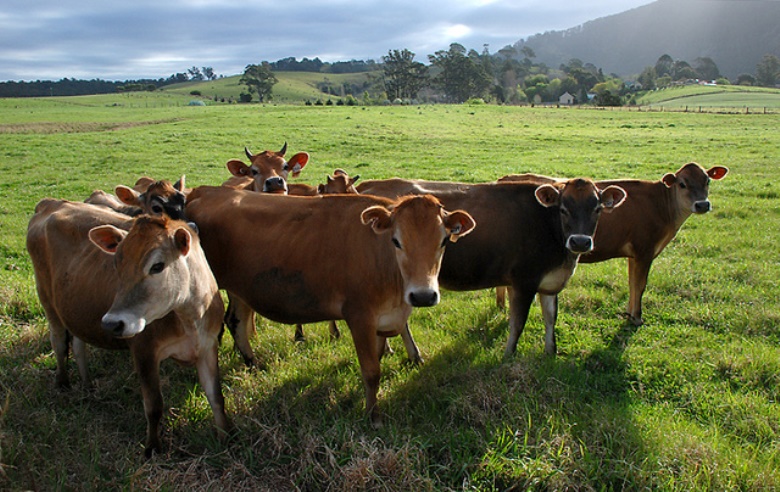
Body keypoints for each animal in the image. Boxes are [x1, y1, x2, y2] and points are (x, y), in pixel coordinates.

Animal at [27, 201, 229, 458]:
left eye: (157, 266)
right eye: (116, 264)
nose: (111, 323)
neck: (189, 317)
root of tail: (52, 202)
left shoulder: (207, 346)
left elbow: (216, 396)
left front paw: (225, 435)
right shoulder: (143, 351)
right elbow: (153, 406)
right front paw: (152, 448)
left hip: (73, 309)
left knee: (78, 343)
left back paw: (87, 384)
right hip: (46, 297)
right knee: (59, 342)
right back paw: (62, 383)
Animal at [185, 186, 476, 424]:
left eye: (444, 240)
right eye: (396, 241)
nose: (423, 296)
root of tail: (206, 191)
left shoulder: (382, 320)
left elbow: (378, 358)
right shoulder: (359, 316)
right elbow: (371, 370)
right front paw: (373, 417)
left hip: (241, 288)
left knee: (237, 321)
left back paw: (253, 364)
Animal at [356, 179, 624, 356]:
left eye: (598, 208)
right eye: (563, 209)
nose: (580, 241)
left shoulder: (549, 283)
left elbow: (551, 317)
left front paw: (550, 352)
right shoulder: (523, 281)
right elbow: (518, 323)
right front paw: (508, 356)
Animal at [496, 161, 728, 326]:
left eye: (707, 181)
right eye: (682, 184)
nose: (702, 204)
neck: (661, 205)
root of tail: (505, 178)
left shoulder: (634, 255)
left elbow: (633, 283)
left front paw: (630, 312)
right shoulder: (644, 250)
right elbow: (640, 285)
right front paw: (637, 317)